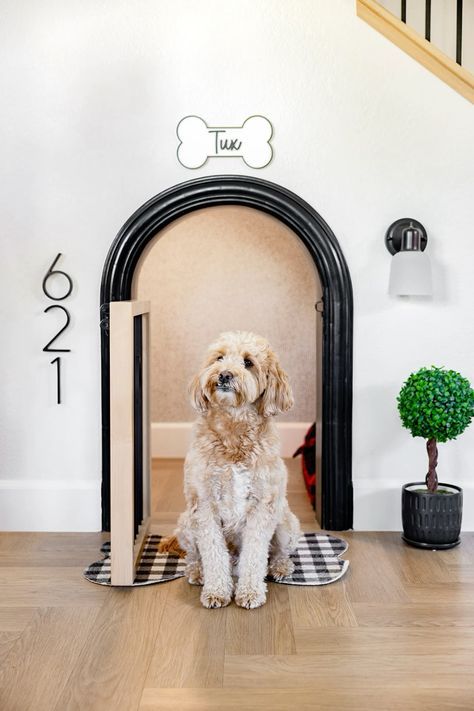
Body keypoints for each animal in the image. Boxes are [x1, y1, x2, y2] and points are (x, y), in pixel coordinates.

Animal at [159, 330, 300, 608]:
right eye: (219, 358)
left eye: (248, 362)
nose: (224, 374)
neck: (234, 429)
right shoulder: (204, 506)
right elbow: (213, 553)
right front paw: (216, 592)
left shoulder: (262, 507)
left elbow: (255, 555)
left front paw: (250, 593)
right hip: (186, 524)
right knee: (195, 556)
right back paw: (197, 572)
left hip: (286, 523)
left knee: (278, 552)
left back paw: (280, 567)